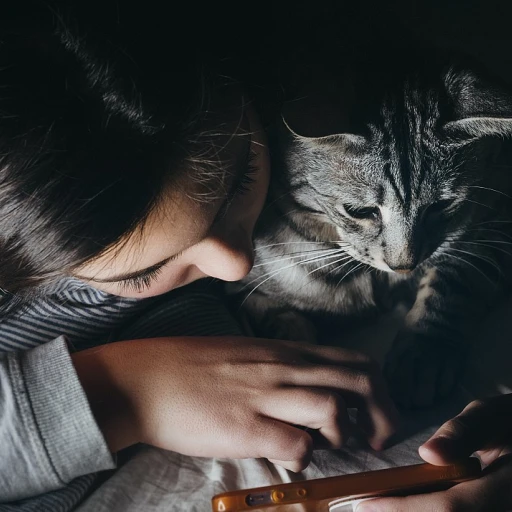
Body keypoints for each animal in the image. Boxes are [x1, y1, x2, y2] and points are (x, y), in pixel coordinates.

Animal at [230, 51, 512, 408]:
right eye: (359, 211)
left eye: (441, 206)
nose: (404, 264)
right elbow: (272, 317)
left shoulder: (496, 224)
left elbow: (453, 282)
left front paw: (423, 356)